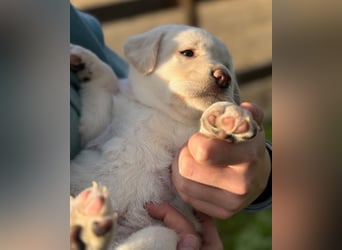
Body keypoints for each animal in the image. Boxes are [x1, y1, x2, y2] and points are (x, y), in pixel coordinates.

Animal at [69, 23, 258, 250]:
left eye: (227, 64)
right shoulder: (96, 130)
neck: (165, 114)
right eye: (187, 53)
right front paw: (85, 60)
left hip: (161, 233)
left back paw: (88, 222)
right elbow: (105, 80)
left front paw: (226, 116)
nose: (224, 76)